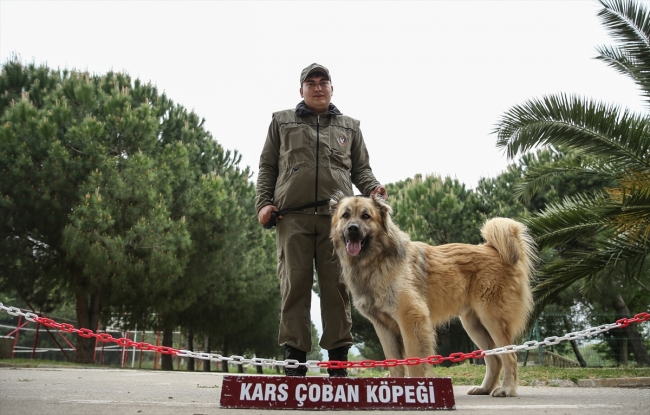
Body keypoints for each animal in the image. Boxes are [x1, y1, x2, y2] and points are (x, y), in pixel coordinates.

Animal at [326, 193, 536, 398]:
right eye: (345, 215)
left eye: (366, 216)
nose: (353, 228)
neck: (375, 260)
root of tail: (494, 250)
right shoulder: (383, 326)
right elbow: (394, 363)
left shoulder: (411, 318)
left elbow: (414, 360)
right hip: (474, 325)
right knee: (495, 358)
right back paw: (484, 388)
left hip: (491, 318)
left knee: (510, 355)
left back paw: (506, 389)